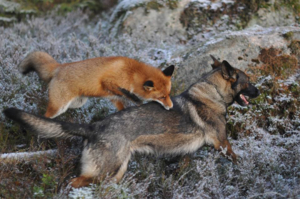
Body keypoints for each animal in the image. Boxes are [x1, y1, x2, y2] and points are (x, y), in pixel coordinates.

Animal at [18, 51, 175, 118]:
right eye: (161, 97)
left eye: (168, 94)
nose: (171, 107)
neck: (132, 73)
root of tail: (59, 67)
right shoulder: (108, 82)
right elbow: (126, 94)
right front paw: (136, 100)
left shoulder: (113, 97)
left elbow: (121, 104)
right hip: (59, 107)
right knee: (44, 115)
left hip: (76, 103)